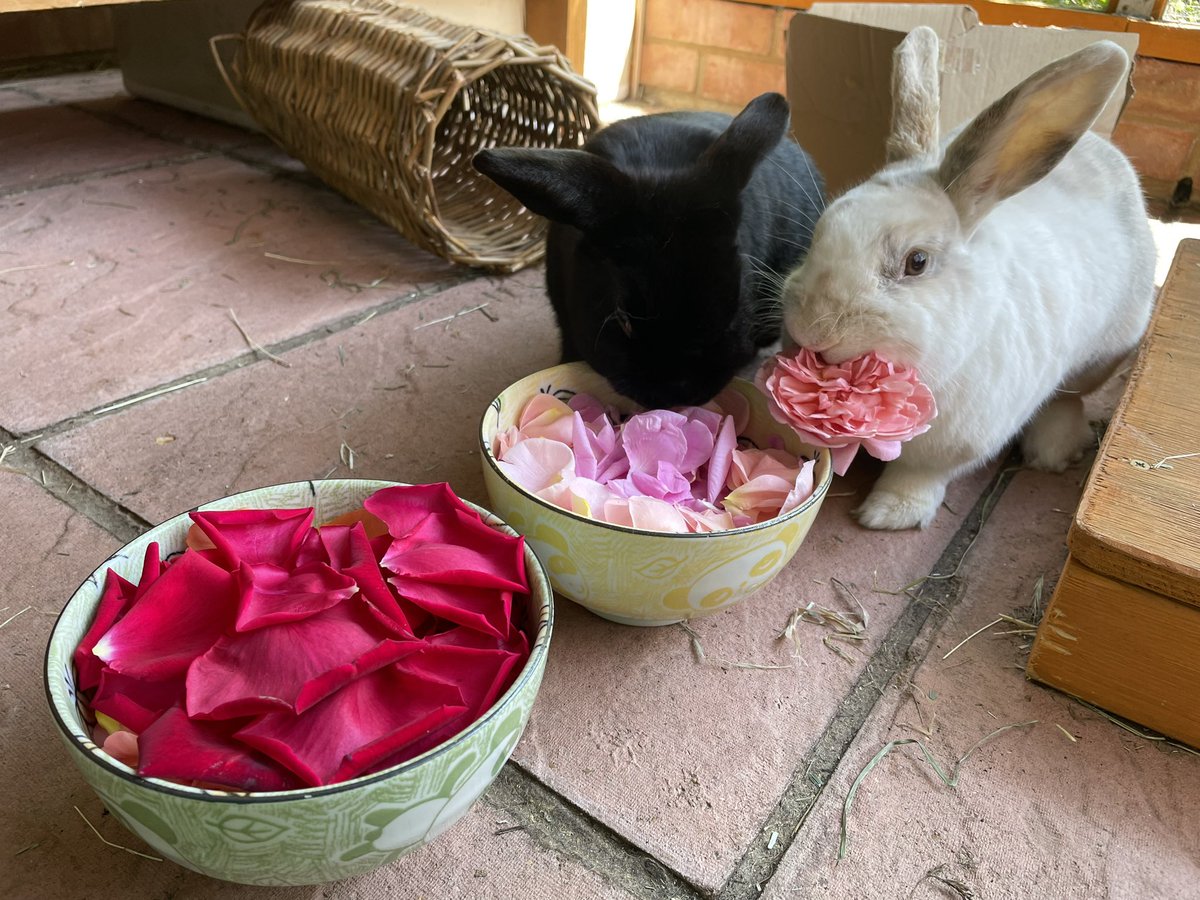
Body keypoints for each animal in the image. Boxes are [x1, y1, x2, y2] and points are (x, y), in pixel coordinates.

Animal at [782, 28, 1156, 532]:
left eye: (917, 262)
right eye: (818, 232)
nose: (813, 332)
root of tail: (1102, 145)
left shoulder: (957, 444)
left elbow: (920, 476)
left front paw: (889, 514)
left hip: (1105, 354)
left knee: (1069, 399)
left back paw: (1052, 453)